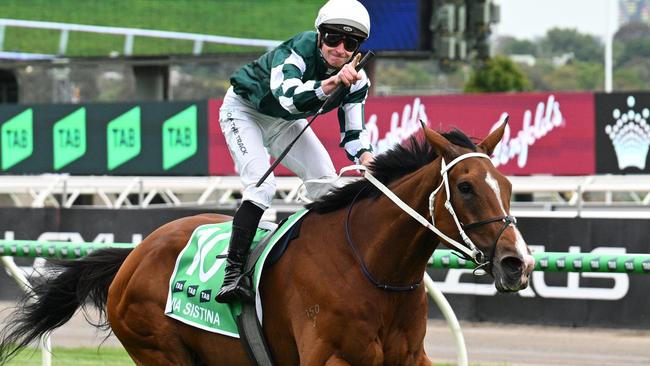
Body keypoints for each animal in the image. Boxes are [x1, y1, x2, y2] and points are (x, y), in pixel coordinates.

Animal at [0, 122, 532, 364]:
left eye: (507, 185)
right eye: (466, 186)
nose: (517, 263)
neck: (372, 268)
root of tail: (135, 255)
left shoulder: (410, 358)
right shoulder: (330, 359)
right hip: (160, 350)